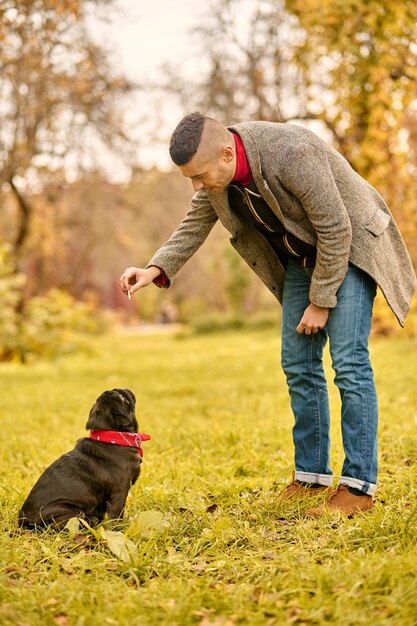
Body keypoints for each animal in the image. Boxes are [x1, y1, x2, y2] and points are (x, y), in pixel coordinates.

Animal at [19, 388, 150, 528]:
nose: (114, 390)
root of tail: (24, 520)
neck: (112, 437)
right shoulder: (119, 492)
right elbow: (117, 515)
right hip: (70, 511)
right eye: (123, 399)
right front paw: (119, 528)